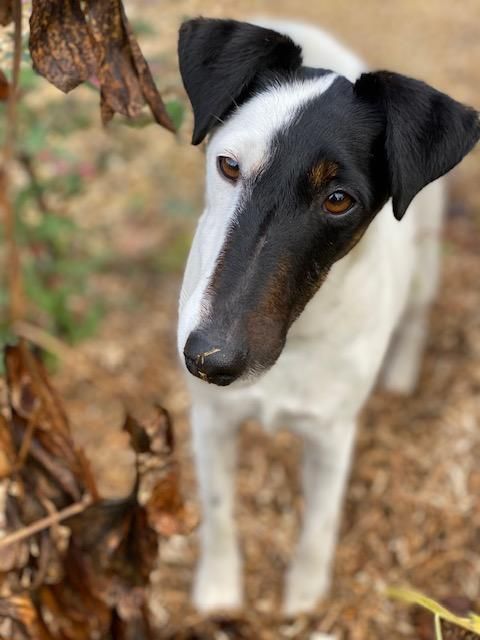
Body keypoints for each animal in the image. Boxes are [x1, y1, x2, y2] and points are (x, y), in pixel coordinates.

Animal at [176, 16, 480, 616]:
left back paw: (401, 373)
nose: (209, 360)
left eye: (339, 199)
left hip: (425, 263)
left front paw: (305, 597)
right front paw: (218, 589)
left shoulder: (331, 435)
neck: (298, 336)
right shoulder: (212, 419)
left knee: (416, 315)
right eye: (228, 165)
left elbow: (318, 524)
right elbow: (219, 510)